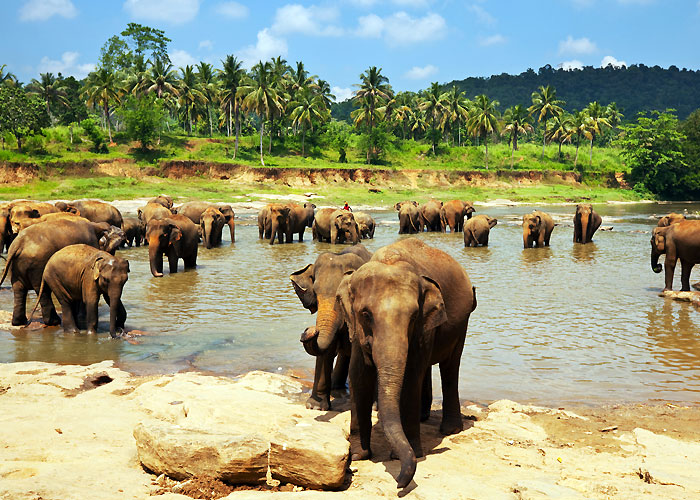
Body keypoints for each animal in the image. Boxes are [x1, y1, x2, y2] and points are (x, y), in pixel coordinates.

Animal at [291, 244, 372, 411]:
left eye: (340, 297)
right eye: (315, 293)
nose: (310, 329)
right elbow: (326, 351)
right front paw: (315, 406)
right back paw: (336, 388)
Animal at [332, 238, 476, 488]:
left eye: (413, 316)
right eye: (366, 314)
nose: (400, 482)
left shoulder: (423, 329)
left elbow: (411, 376)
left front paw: (410, 453)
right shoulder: (356, 330)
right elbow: (359, 376)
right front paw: (359, 455)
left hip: (462, 323)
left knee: (450, 367)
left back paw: (450, 429)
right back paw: (423, 417)